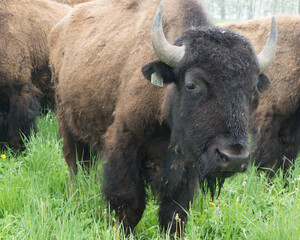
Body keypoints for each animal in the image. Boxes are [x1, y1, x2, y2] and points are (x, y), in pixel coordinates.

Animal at [49, 0, 276, 236]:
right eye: (191, 85)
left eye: (252, 91)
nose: (233, 157)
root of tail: (59, 29)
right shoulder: (124, 145)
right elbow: (129, 204)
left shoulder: (186, 164)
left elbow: (175, 213)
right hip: (66, 121)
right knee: (75, 163)